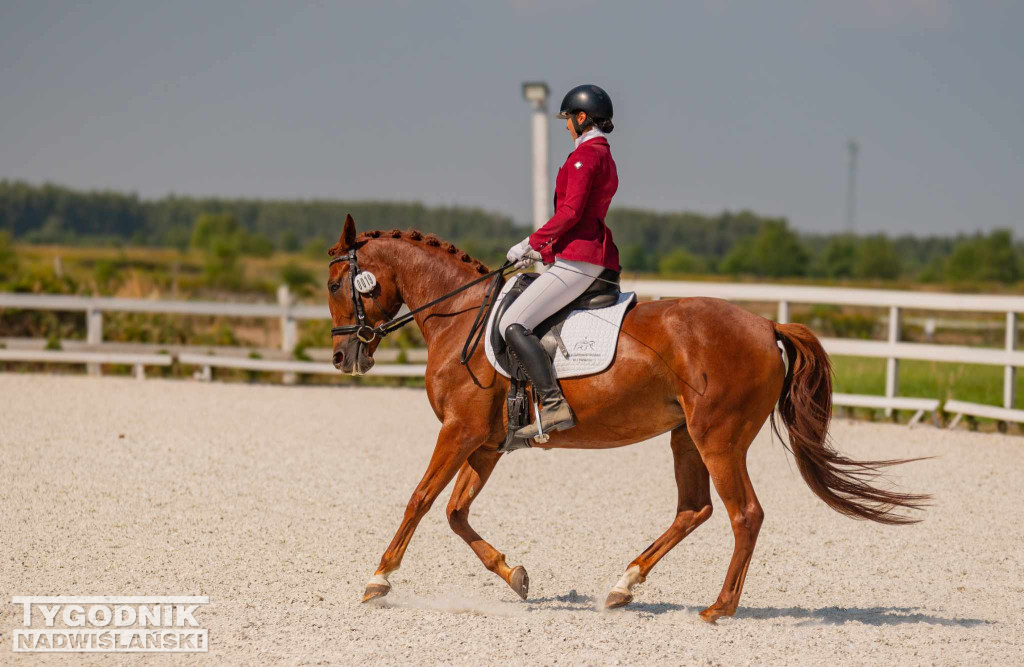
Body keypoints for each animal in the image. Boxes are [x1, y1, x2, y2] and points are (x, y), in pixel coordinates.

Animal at [327, 216, 929, 622]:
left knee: (745, 514)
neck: (460, 318)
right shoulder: (487, 443)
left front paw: (378, 579)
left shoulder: (459, 432)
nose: (342, 357)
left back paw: (718, 608)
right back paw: (623, 585)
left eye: (335, 285)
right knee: (695, 509)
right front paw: (516, 576)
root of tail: (765, 325)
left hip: (718, 438)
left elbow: (420, 500)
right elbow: (455, 512)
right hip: (687, 437)